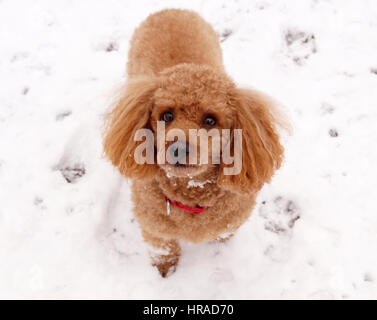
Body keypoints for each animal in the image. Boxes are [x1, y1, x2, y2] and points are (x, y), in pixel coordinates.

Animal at [102, 8, 282, 276]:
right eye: (166, 115)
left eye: (210, 120)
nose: (178, 148)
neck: (191, 194)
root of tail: (170, 10)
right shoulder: (155, 229)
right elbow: (164, 250)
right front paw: (165, 272)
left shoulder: (232, 220)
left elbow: (224, 232)